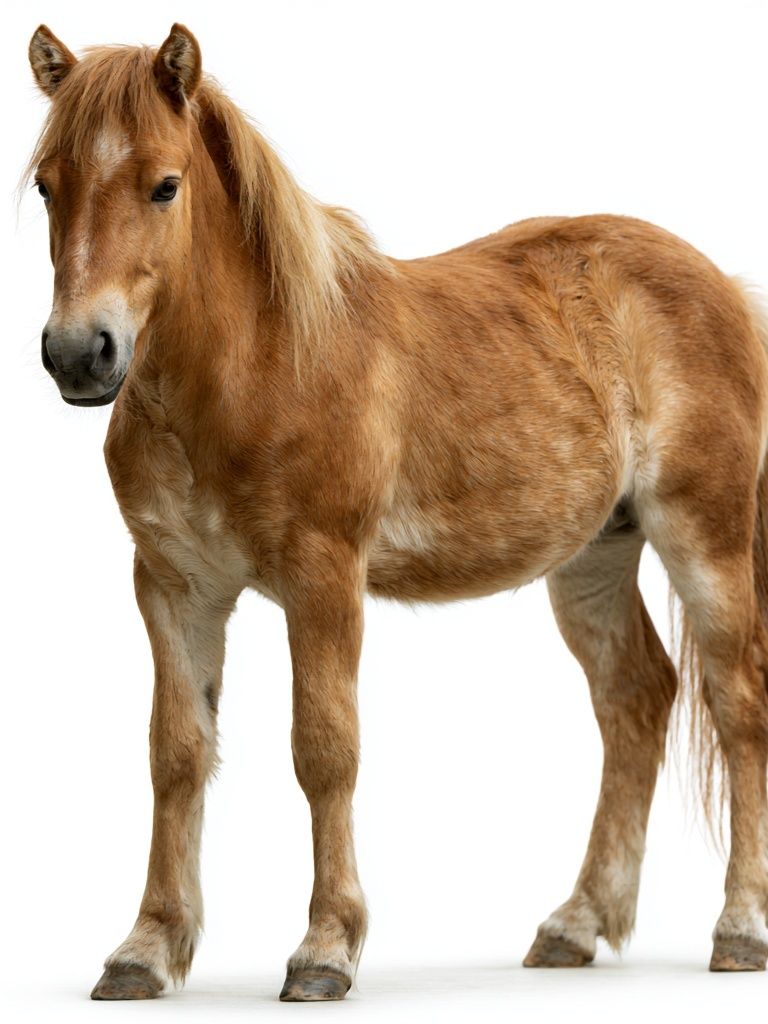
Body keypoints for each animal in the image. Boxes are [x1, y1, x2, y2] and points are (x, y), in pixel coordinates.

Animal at [26, 21, 768, 1002]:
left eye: (164, 184)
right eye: (47, 183)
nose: (81, 355)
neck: (258, 365)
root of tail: (723, 286)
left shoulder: (324, 578)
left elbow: (324, 749)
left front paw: (324, 950)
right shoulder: (174, 586)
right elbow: (176, 754)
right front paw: (146, 950)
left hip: (703, 536)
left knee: (737, 702)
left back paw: (740, 929)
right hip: (595, 555)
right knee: (635, 699)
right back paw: (574, 925)